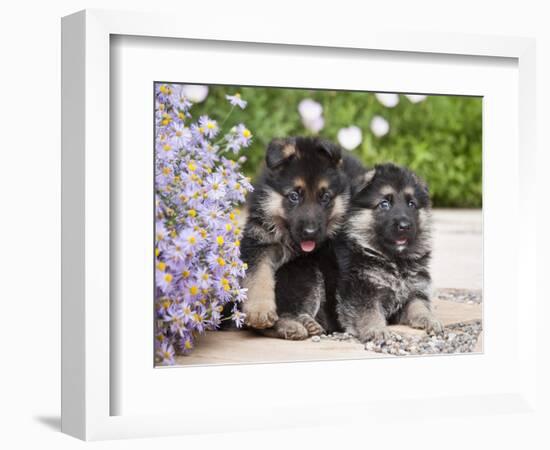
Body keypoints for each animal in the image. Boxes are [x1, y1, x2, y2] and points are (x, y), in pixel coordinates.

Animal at [242, 137, 358, 334]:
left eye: (325, 197)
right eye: (294, 196)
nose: (310, 233)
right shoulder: (259, 241)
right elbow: (257, 274)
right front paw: (260, 311)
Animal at [334, 163, 446, 342]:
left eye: (411, 204)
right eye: (384, 204)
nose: (405, 226)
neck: (395, 261)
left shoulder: (414, 289)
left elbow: (419, 305)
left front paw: (429, 319)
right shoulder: (361, 289)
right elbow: (369, 311)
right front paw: (376, 329)